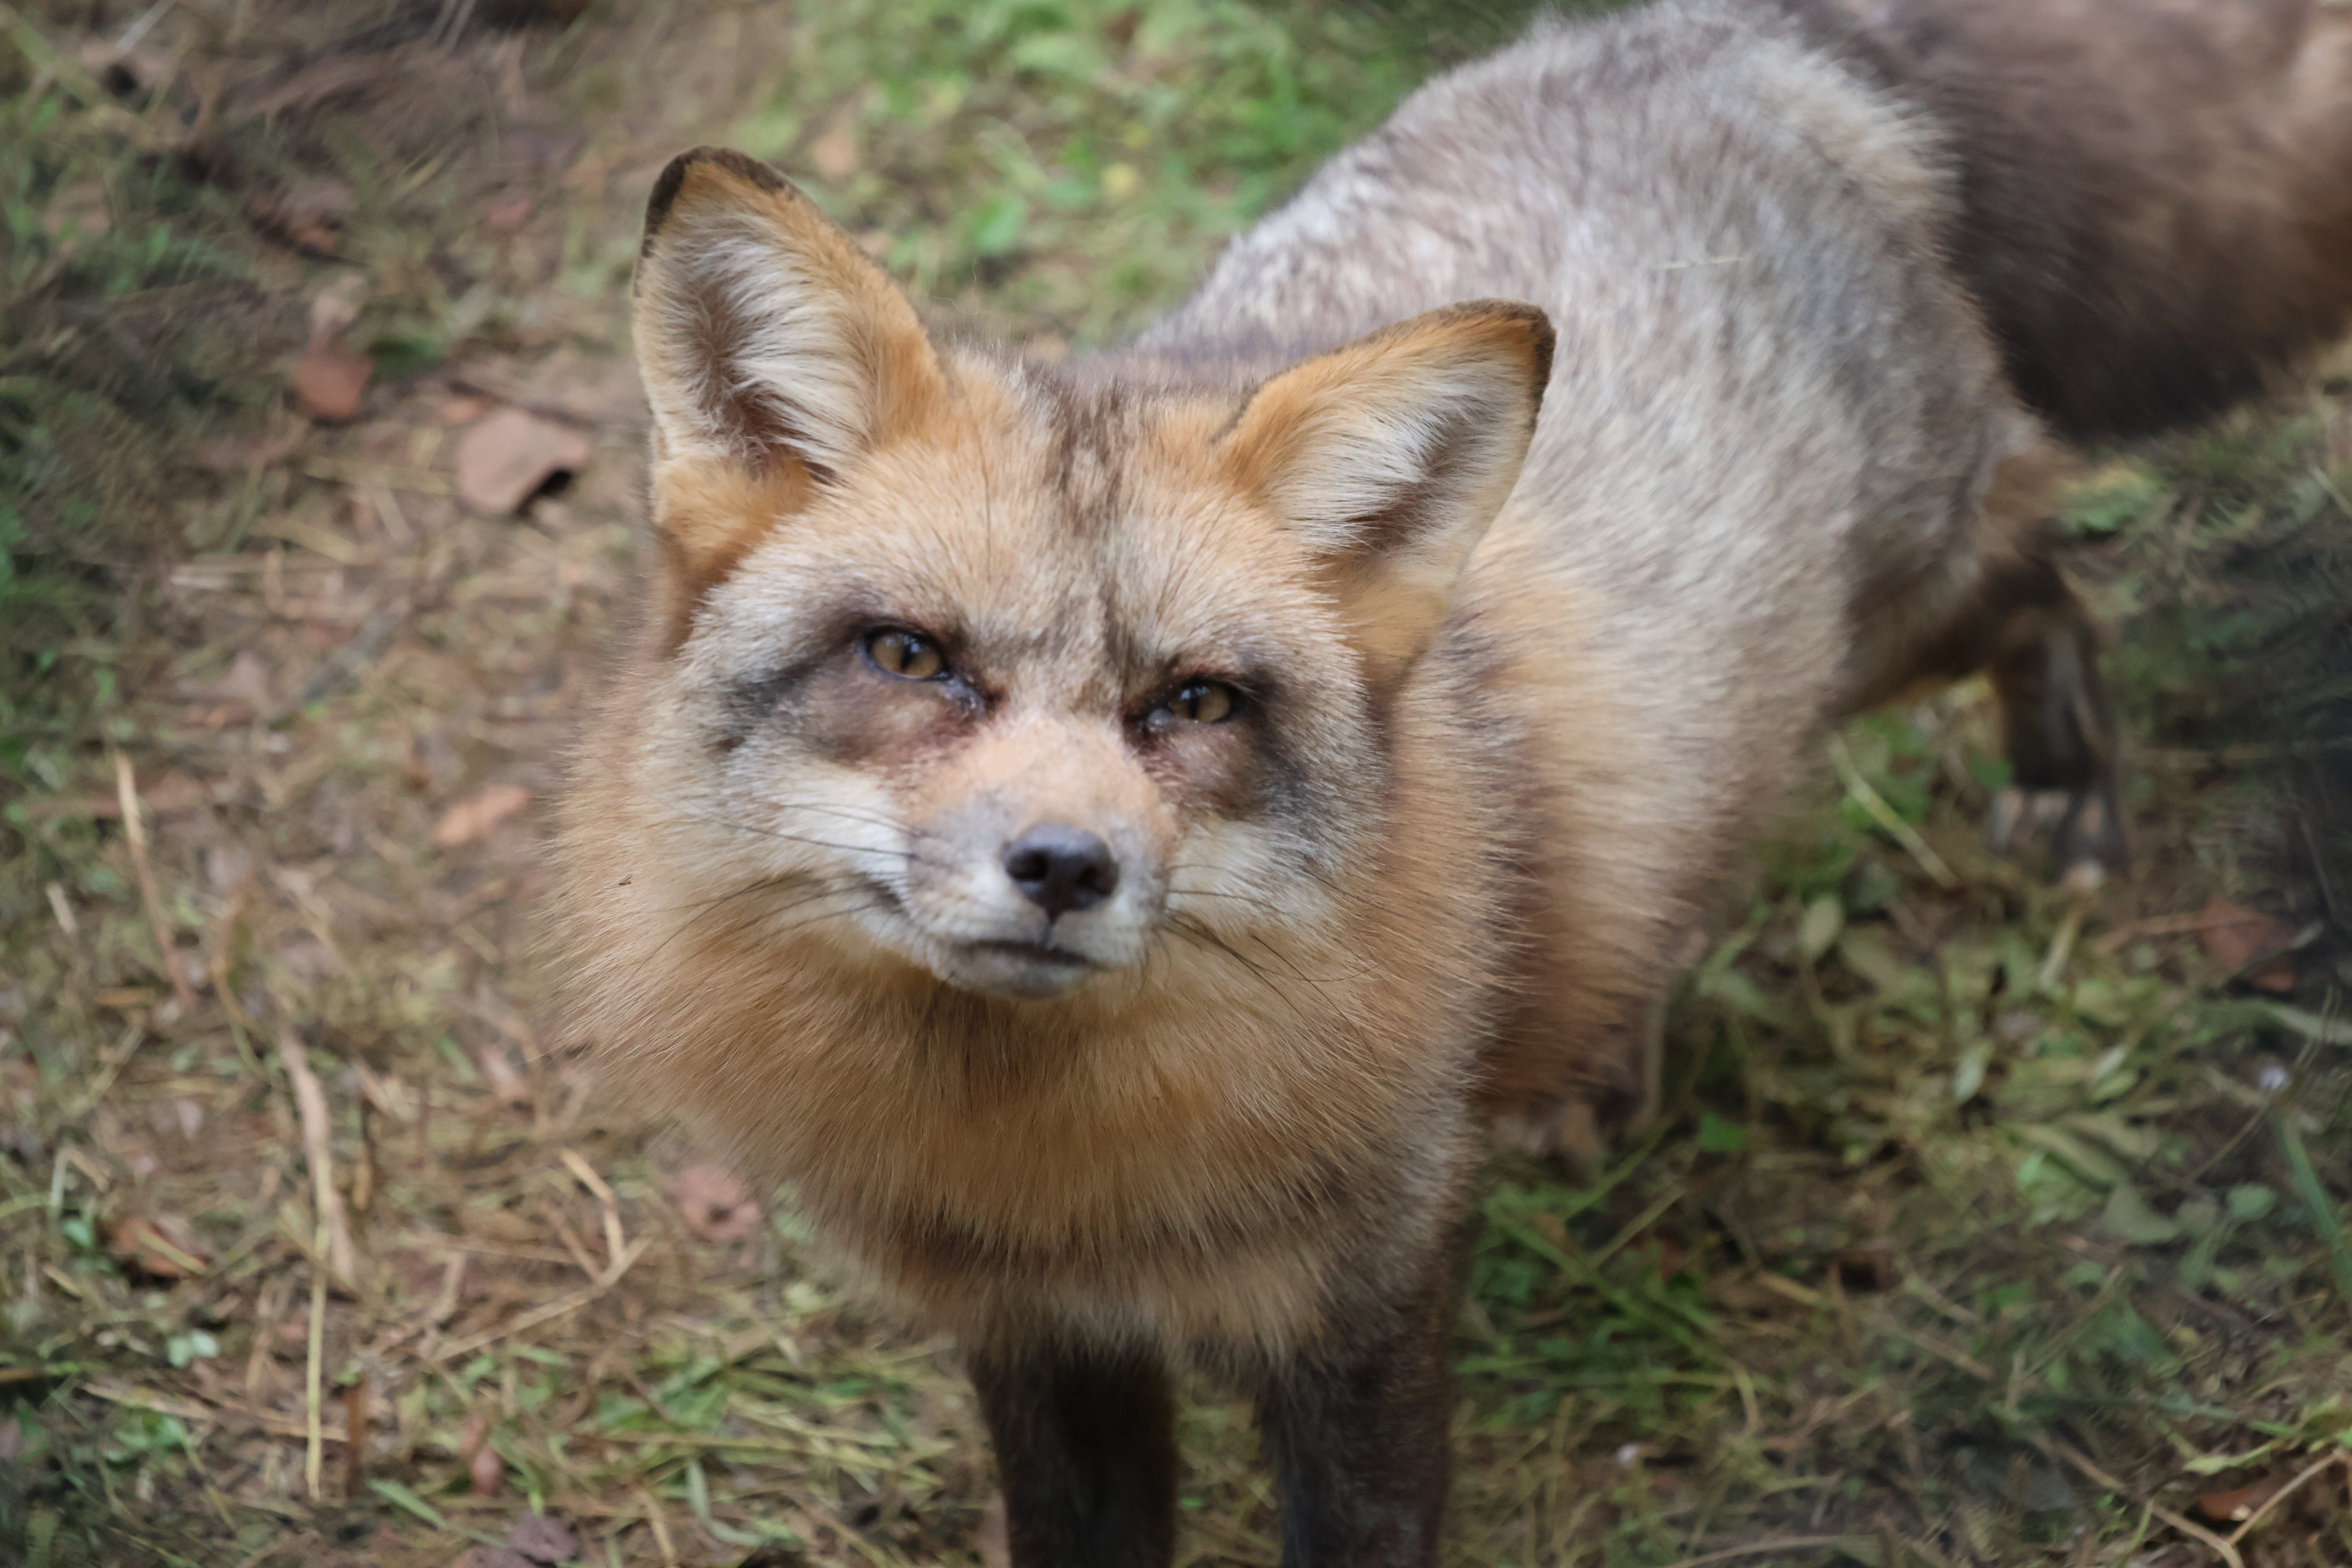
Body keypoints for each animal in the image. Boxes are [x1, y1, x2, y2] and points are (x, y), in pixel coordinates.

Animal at [557, 0, 2352, 1562]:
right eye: (912, 658)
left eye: (1192, 702)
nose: (1064, 867)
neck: (1075, 1183)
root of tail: (1725, 38)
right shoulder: (1043, 1343)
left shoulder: (1369, 1296)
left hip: (1899, 613)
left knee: (2050, 573)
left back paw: (2064, 782)